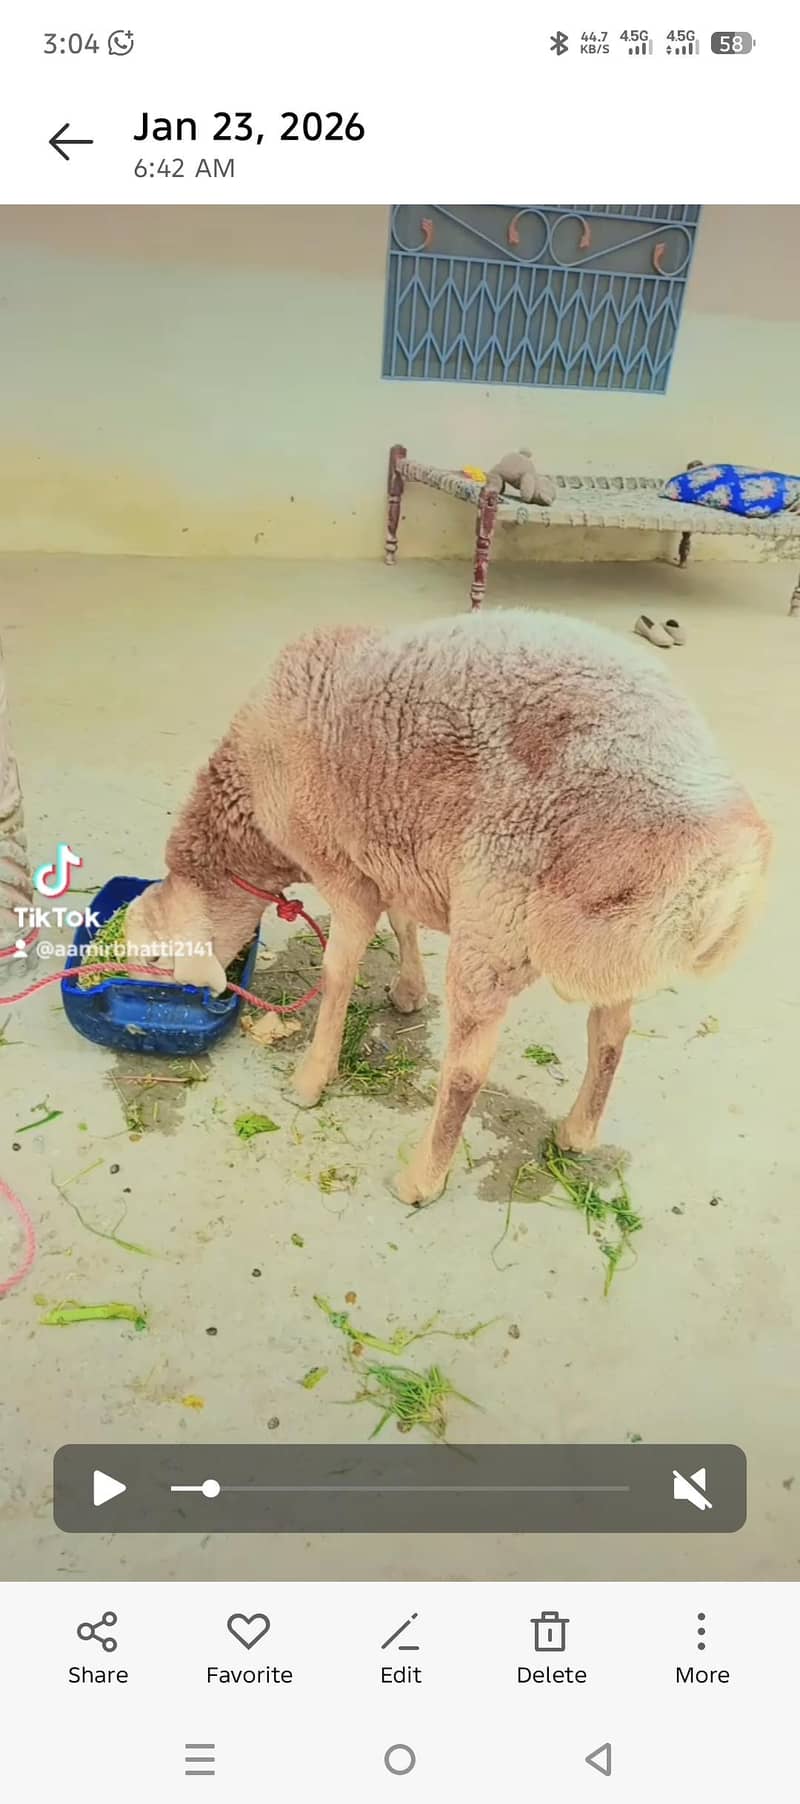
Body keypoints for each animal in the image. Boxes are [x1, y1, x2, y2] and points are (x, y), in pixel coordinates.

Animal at [125, 610, 771, 1206]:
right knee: (611, 1032)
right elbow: (403, 921)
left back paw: (422, 1179)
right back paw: (577, 1132)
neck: (253, 813)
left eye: (154, 959)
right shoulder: (388, 855)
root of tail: (726, 863)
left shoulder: (342, 868)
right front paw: (409, 991)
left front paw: (310, 1080)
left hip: (497, 919)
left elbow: (338, 974)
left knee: (466, 1070)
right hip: (613, 940)